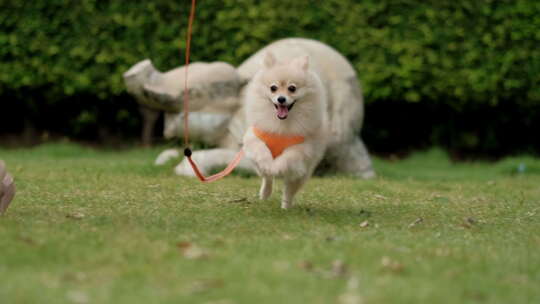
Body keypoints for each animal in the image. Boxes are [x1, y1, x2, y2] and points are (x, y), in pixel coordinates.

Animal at [124, 38, 376, 180]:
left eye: (193, 94)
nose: (133, 70)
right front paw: (164, 160)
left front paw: (184, 170)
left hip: (345, 104)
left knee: (339, 142)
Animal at [243, 52, 326, 209]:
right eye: (273, 88)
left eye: (292, 88)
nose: (281, 99)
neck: (281, 124)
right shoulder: (255, 138)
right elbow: (262, 150)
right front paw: (268, 163)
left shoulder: (301, 149)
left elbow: (287, 158)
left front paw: (276, 167)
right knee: (267, 178)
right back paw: (265, 193)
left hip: (301, 174)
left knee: (289, 190)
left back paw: (286, 206)